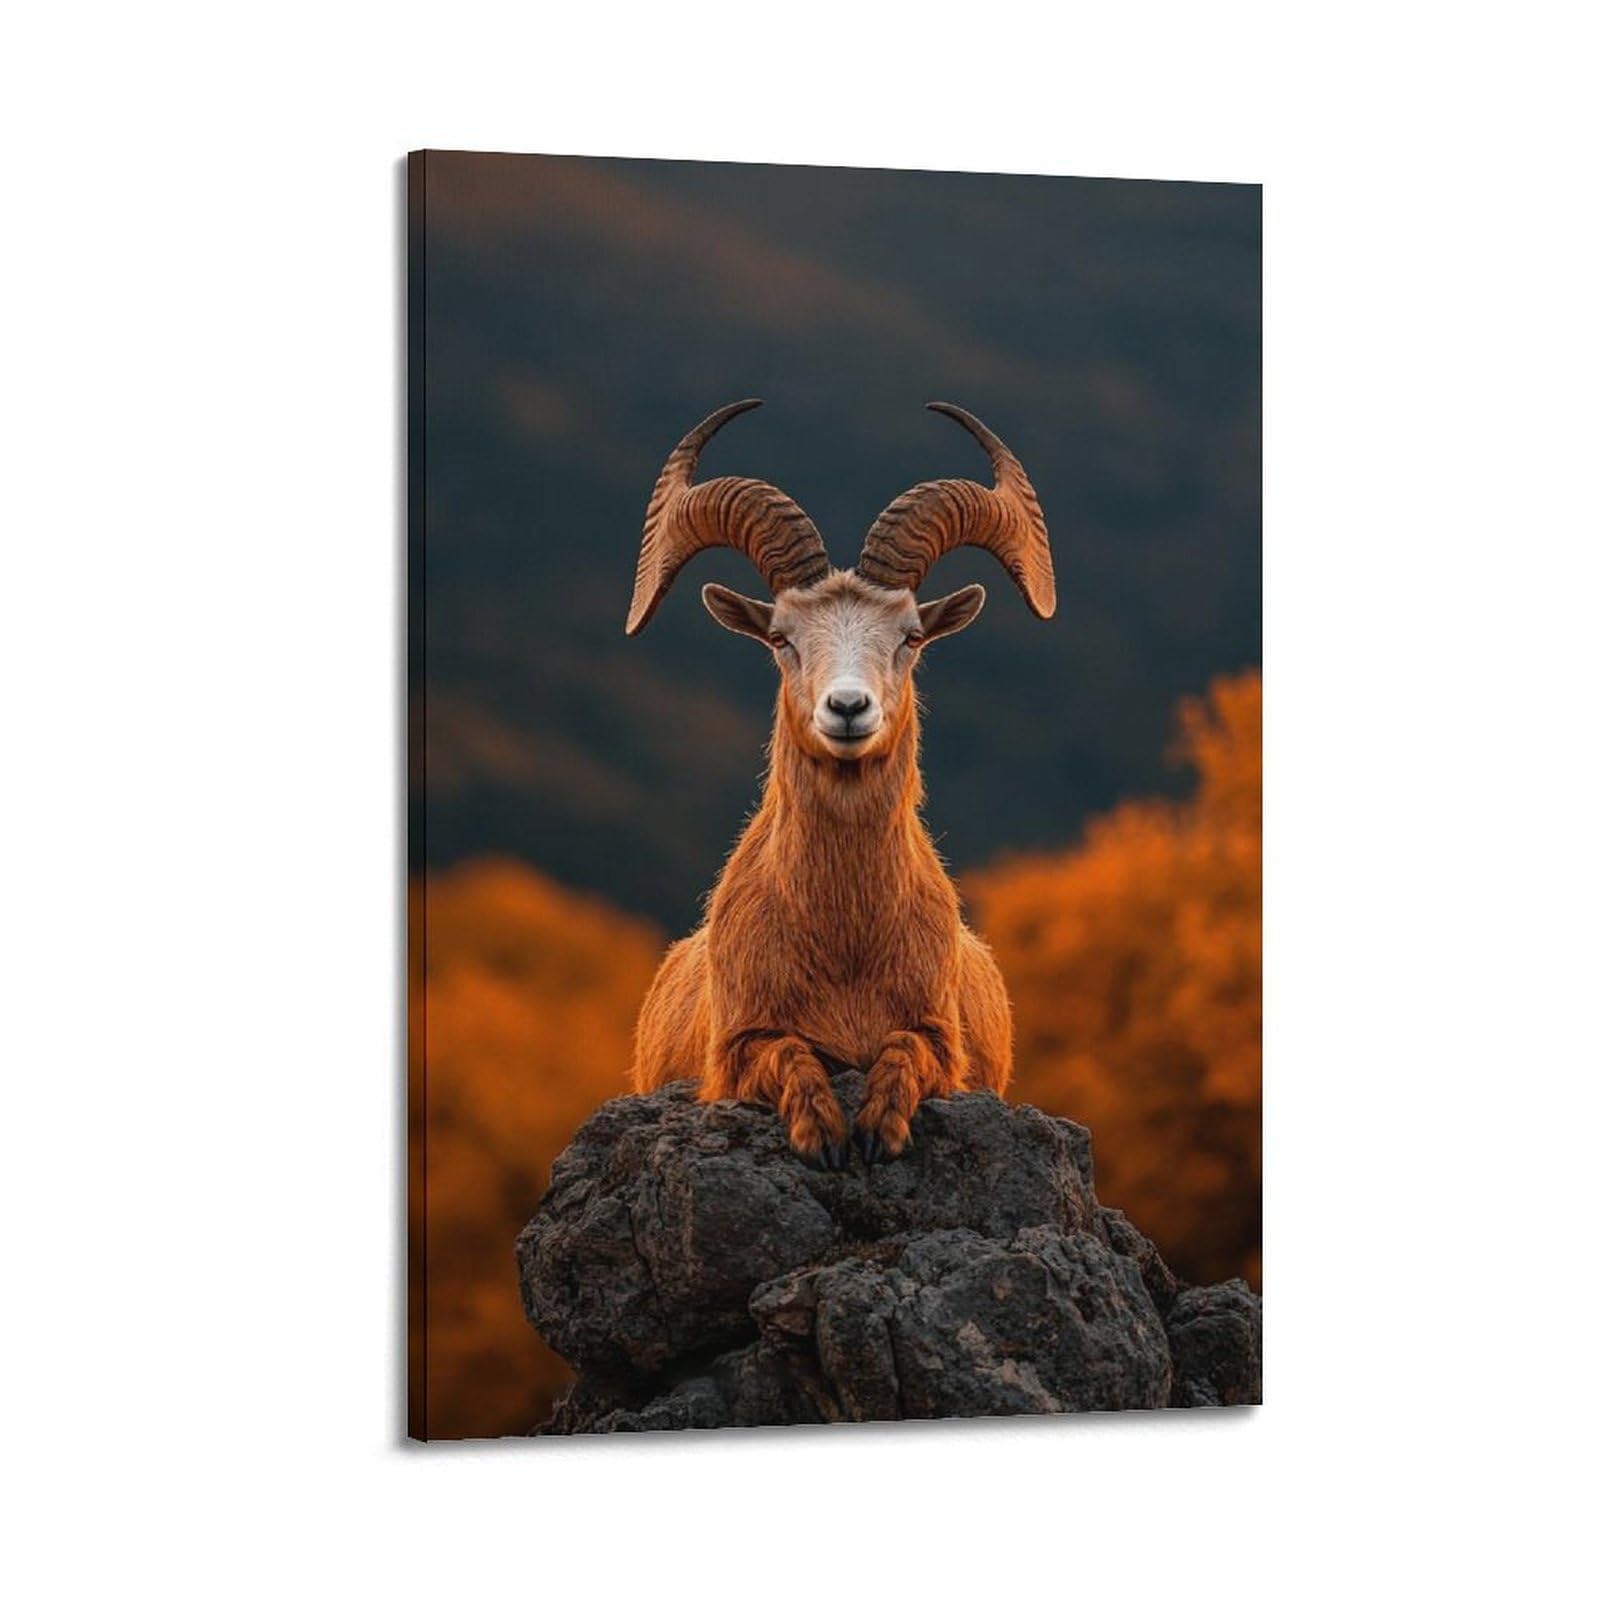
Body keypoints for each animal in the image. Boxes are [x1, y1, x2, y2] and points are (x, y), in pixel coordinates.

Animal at [626, 400, 1056, 1166]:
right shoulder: (735, 1050)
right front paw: (823, 1133)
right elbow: (788, 1053)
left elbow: (906, 1050)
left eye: (911, 636)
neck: (846, 948)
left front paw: (879, 1129)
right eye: (782, 638)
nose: (848, 708)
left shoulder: (940, 1042)